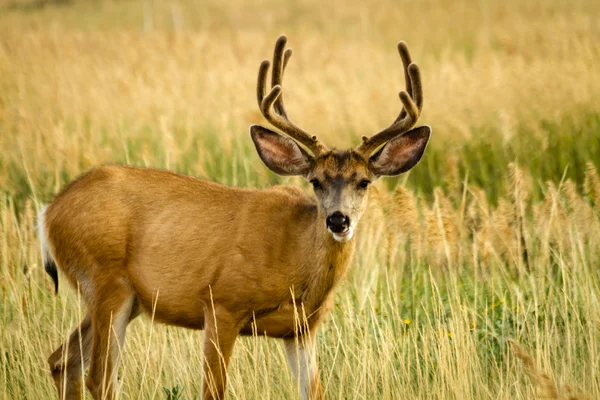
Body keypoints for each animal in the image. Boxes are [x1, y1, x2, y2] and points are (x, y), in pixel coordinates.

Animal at [37, 35, 428, 400]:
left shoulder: (301, 329)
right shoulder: (221, 304)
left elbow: (314, 392)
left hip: (126, 298)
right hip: (106, 280)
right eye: (315, 182)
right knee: (98, 377)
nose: (338, 220)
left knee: (62, 360)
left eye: (363, 182)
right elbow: (213, 390)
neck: (295, 262)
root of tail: (49, 211)